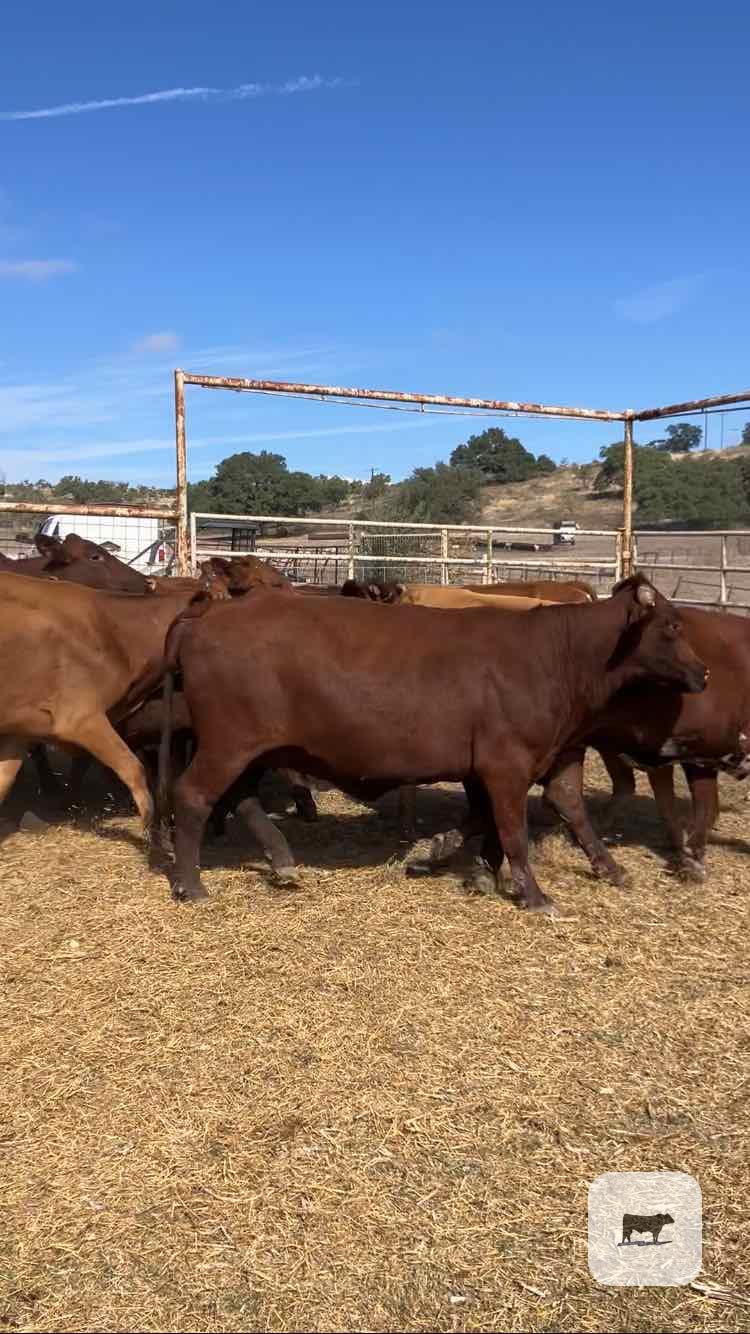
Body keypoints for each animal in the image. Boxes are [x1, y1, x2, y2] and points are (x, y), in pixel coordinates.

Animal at [157, 575, 707, 912]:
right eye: (672, 626)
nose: (702, 672)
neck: (557, 654)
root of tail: (207, 617)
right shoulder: (506, 765)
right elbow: (512, 830)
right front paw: (532, 893)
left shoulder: (523, 761)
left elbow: (542, 812)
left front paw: (445, 855)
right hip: (229, 744)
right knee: (193, 796)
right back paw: (191, 883)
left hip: (250, 748)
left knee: (241, 798)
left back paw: (279, 861)